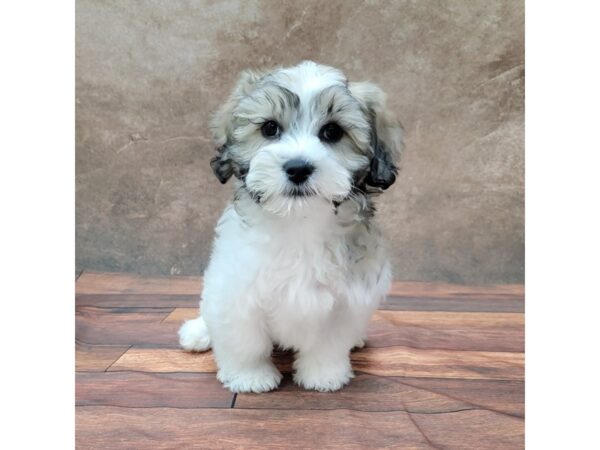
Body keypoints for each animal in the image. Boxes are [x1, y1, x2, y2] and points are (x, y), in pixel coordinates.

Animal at [178, 60, 404, 394]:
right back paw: (198, 332)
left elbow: (329, 344)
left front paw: (324, 376)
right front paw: (250, 377)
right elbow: (244, 341)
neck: (299, 223)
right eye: (270, 128)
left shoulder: (347, 303)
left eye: (332, 131)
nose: (298, 168)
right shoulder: (235, 291)